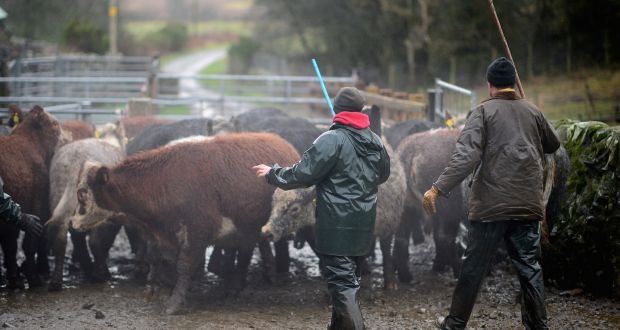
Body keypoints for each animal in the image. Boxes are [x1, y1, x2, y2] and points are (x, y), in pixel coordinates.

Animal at [0, 105, 68, 286]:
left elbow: (11, 245)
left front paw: (15, 279)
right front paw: (33, 277)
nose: (68, 139)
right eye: (54, 124)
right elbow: (30, 243)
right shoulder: (37, 205)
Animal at [70, 132, 300, 314]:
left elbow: (184, 266)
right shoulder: (159, 234)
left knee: (248, 252)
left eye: (82, 194)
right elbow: (156, 258)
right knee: (247, 250)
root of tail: (279, 140)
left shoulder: (197, 231)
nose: (72, 223)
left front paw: (174, 302)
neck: (164, 182)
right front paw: (154, 287)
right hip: (247, 227)